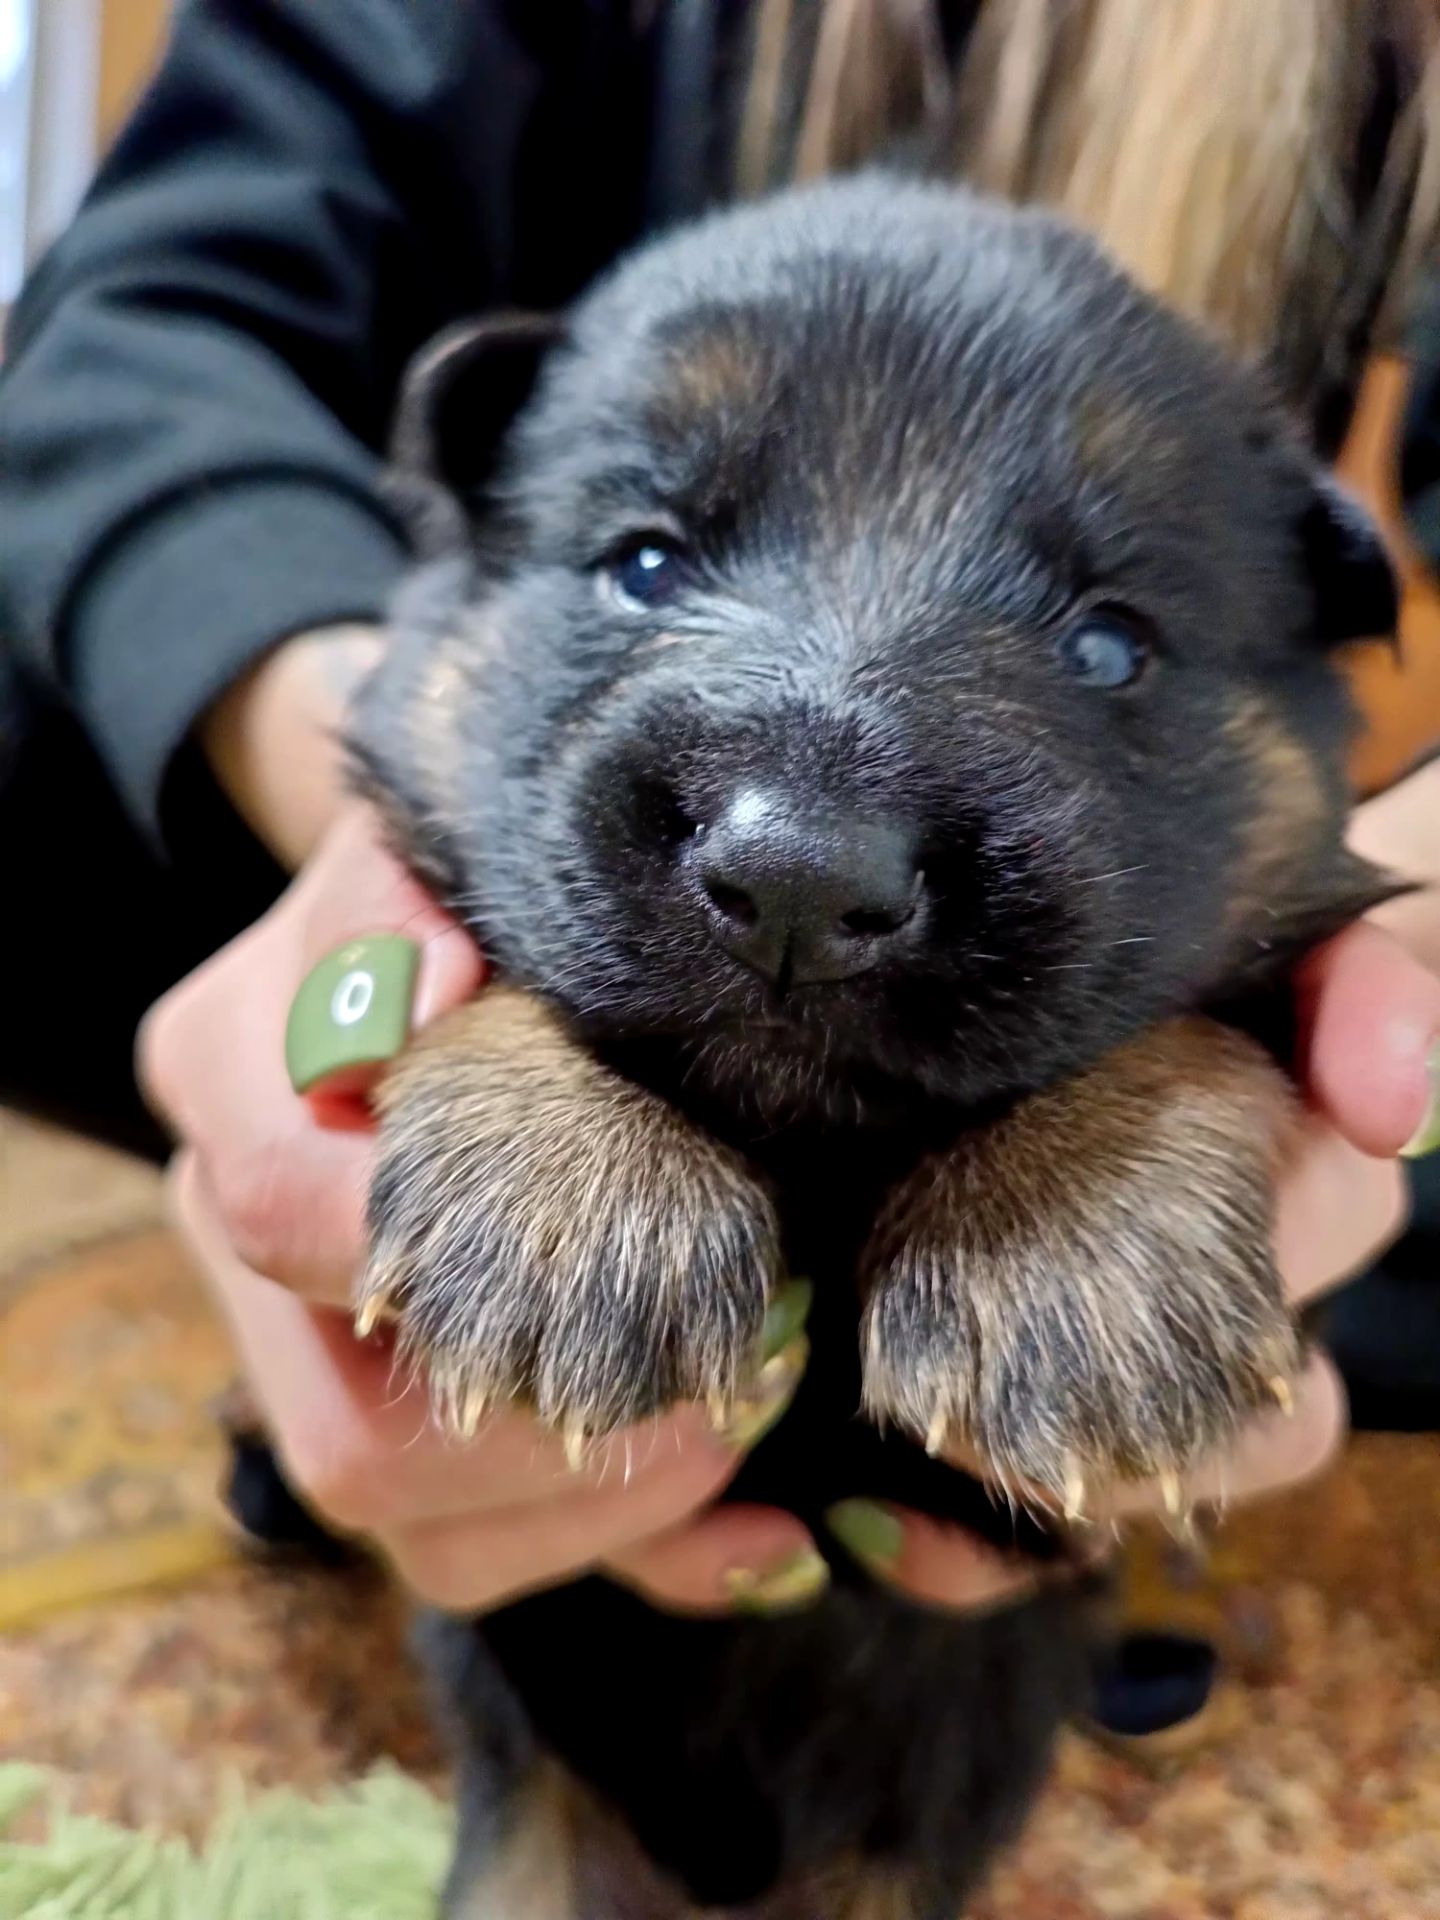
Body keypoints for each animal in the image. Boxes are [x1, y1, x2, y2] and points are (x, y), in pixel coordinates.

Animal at [347, 176, 1397, 1904]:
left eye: (1109, 645)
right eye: (644, 562)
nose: (799, 877)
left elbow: (1191, 1024)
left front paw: (1076, 1244)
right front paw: (565, 1193)